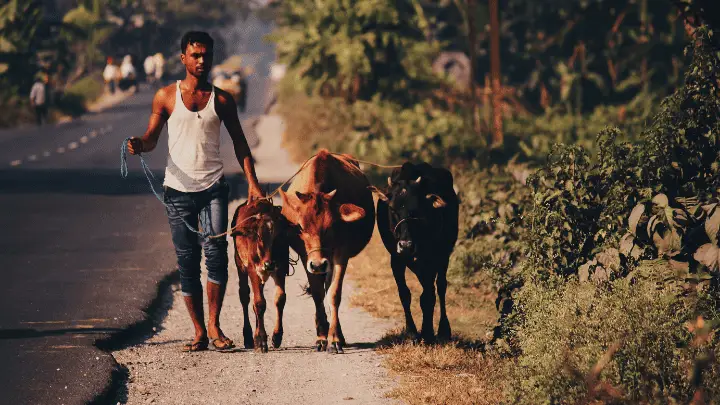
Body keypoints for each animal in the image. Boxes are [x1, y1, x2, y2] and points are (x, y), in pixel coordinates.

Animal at [229, 198, 288, 350]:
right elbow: (259, 303)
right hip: (240, 265)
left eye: (277, 236)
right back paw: (249, 337)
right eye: (259, 237)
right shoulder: (253, 270)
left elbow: (280, 299)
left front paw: (277, 336)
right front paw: (261, 339)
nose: (269, 264)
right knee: (245, 296)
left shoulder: (281, 269)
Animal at [278, 149, 374, 354]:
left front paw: (335, 338)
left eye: (331, 226)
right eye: (300, 226)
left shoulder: (340, 255)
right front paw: (322, 337)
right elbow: (317, 294)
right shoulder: (306, 256)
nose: (318, 264)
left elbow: (333, 294)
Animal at [374, 161, 458, 340]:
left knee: (441, 286)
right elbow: (405, 294)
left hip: (444, 255)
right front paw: (412, 331)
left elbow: (428, 296)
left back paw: (443, 330)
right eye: (392, 210)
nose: (406, 245)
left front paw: (427, 332)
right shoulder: (396, 259)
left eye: (417, 209)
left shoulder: (431, 259)